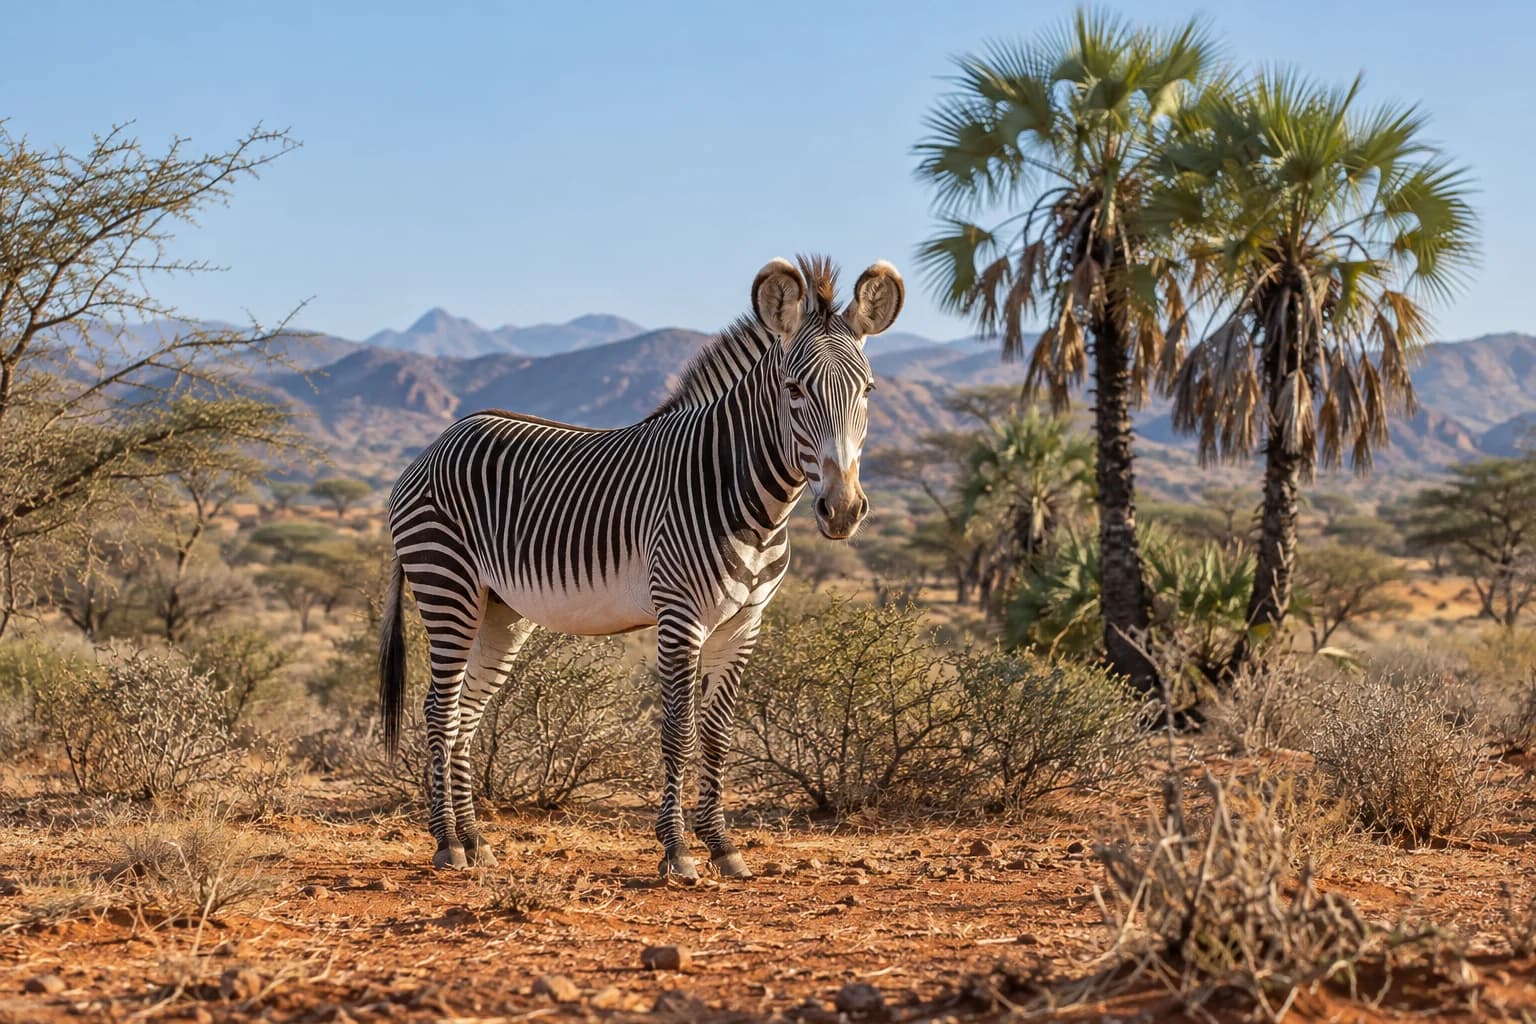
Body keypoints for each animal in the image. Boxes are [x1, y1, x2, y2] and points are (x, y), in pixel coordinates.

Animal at [378, 255, 905, 880]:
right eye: (794, 389)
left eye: (868, 390)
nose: (842, 510)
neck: (750, 499)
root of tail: (441, 439)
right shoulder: (681, 615)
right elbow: (678, 732)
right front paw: (676, 851)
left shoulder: (744, 623)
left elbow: (717, 736)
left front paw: (723, 847)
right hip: (447, 585)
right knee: (439, 710)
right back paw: (447, 844)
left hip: (500, 610)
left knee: (466, 713)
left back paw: (476, 840)